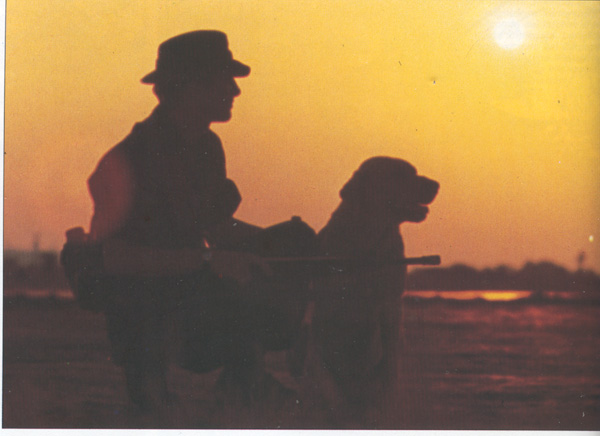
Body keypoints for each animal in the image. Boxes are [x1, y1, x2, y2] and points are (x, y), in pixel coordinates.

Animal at [299, 156, 439, 426]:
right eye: (399, 174)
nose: (437, 184)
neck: (369, 242)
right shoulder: (324, 313)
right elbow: (326, 378)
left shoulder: (390, 308)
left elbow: (389, 369)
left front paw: (381, 408)